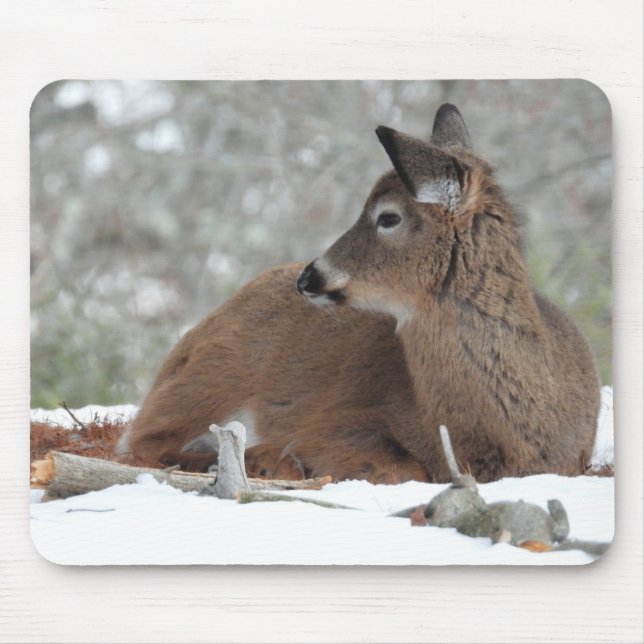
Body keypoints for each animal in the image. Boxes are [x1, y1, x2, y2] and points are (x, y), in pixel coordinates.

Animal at [118, 103, 600, 484]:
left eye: (387, 217)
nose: (308, 277)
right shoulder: (339, 419)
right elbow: (402, 468)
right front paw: (281, 457)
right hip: (215, 374)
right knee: (143, 439)